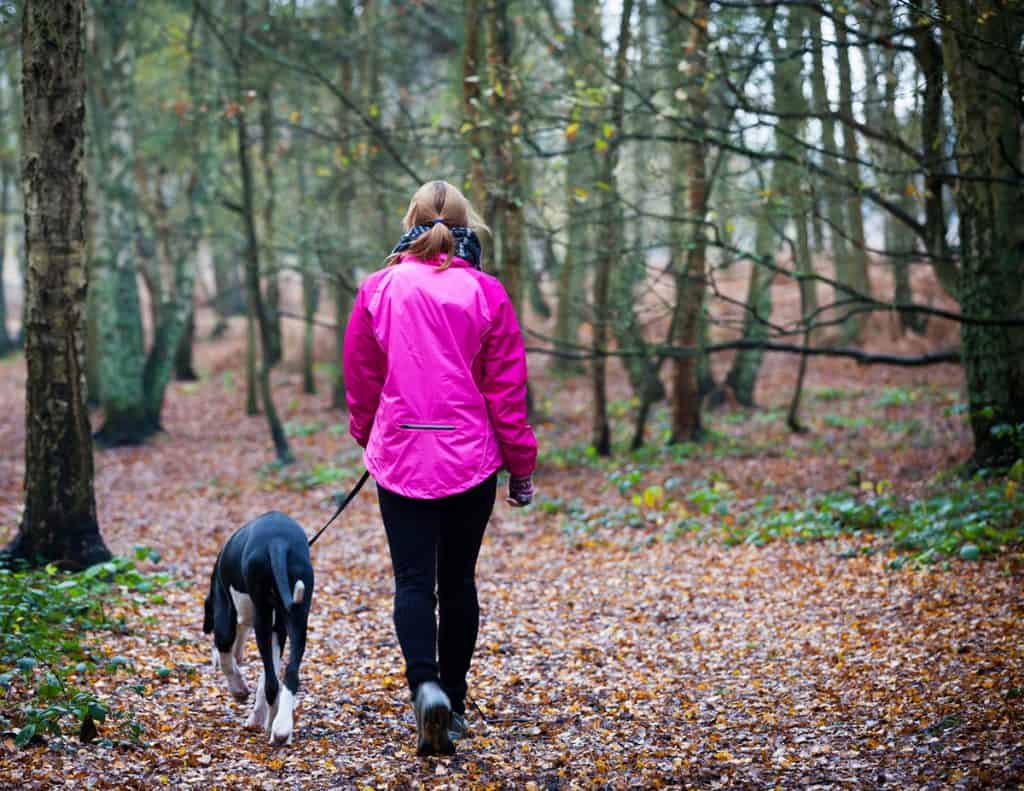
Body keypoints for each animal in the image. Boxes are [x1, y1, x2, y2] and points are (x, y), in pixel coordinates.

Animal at [199, 510, 311, 745]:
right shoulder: (279, 629)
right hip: (298, 615)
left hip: (263, 617)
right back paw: (281, 728)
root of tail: (277, 542)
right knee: (289, 675)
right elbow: (268, 673)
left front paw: (238, 690)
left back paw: (272, 728)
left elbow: (225, 654)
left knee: (272, 685)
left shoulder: (224, 612)